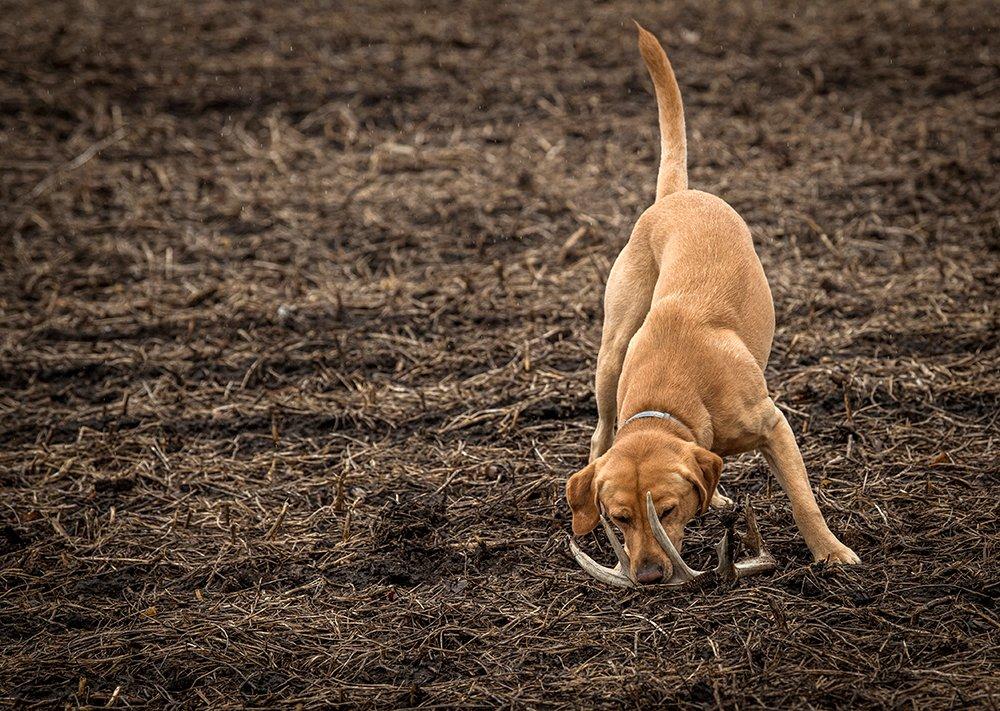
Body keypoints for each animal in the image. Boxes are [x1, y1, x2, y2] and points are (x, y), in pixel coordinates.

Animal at [564, 25, 860, 588]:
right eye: (619, 519)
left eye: (668, 510)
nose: (649, 576)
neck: (673, 397)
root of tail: (674, 197)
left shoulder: (774, 427)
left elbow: (803, 500)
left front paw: (831, 553)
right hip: (611, 354)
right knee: (601, 434)